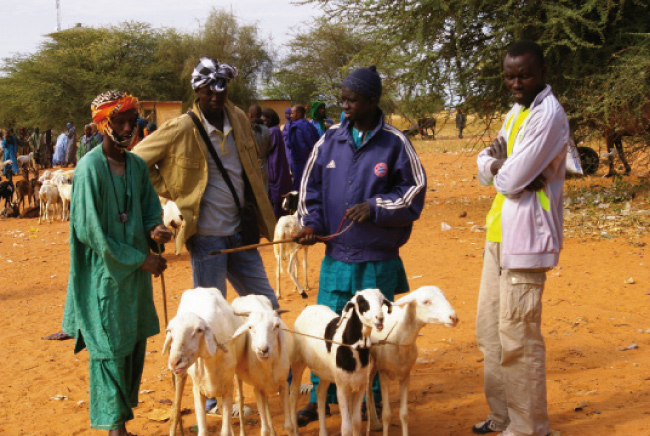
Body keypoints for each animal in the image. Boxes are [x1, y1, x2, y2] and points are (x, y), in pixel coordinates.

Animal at [163, 288, 247, 436]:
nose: (174, 362)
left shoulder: (227, 387)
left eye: (199, 330)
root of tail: (200, 288)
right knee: (176, 407)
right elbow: (202, 430)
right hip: (181, 376)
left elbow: (225, 429)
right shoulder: (198, 390)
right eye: (170, 331)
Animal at [230, 294, 296, 436]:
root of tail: (247, 296)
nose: (263, 350)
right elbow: (264, 430)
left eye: (276, 325)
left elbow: (289, 426)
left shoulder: (283, 385)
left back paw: (273, 431)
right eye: (250, 327)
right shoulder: (257, 389)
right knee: (240, 400)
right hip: (237, 376)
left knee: (265, 405)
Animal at [288, 290, 390, 436]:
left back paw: (323, 432)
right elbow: (346, 427)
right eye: (362, 302)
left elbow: (356, 422)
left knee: (320, 393)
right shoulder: (342, 388)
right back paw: (294, 430)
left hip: (325, 371)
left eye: (382, 302)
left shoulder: (359, 386)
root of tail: (308, 308)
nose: (380, 318)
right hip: (297, 361)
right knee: (293, 394)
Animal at [364, 286, 456, 436]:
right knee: (368, 386)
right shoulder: (384, 375)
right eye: (425, 301)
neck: (399, 339)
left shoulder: (406, 375)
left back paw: (376, 424)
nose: (453, 317)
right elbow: (387, 414)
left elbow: (404, 414)